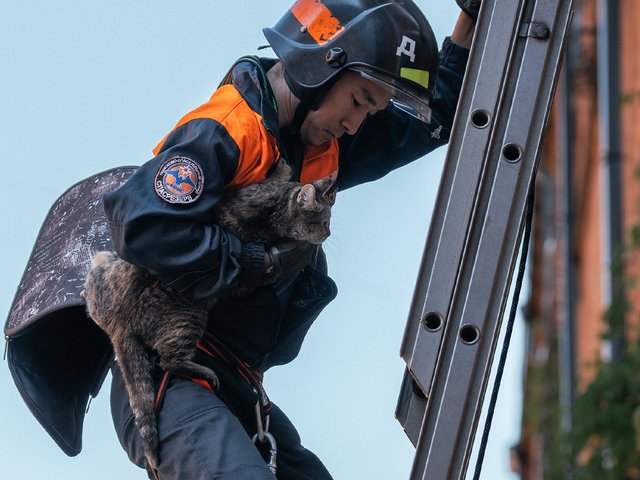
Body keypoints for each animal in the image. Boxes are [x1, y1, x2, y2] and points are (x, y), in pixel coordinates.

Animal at [82, 161, 332, 468]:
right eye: (323, 223)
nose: (328, 234)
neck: (276, 213)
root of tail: (119, 324)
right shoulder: (248, 196)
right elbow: (275, 181)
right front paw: (283, 170)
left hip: (109, 267)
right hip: (187, 315)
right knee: (169, 360)